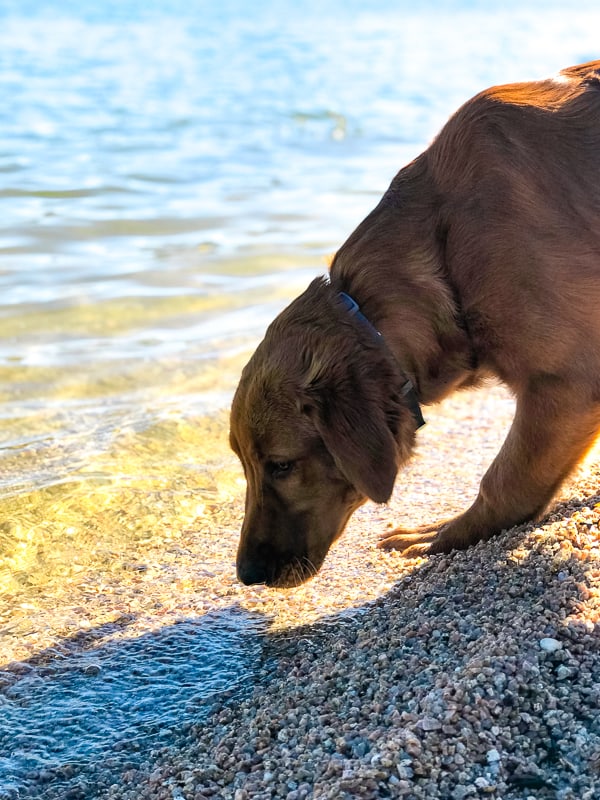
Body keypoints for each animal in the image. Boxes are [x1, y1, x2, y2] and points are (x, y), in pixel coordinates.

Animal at [229, 61, 600, 588]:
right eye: (244, 463)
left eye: (281, 465)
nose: (247, 573)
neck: (446, 246)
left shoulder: (566, 384)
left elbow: (504, 481)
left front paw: (444, 534)